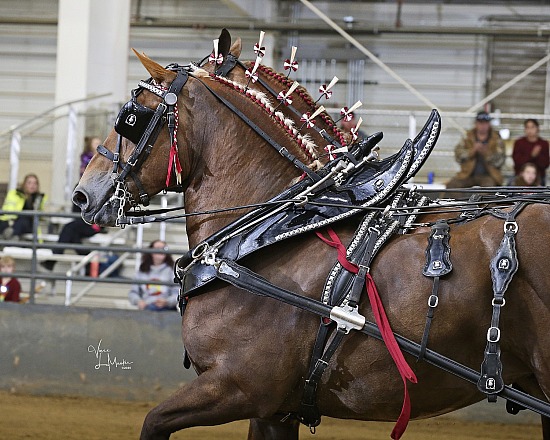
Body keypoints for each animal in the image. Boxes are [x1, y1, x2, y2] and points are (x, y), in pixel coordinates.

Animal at [74, 29, 550, 438]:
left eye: (131, 119)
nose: (82, 194)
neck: (275, 223)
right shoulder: (273, 412)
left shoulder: (236, 388)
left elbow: (153, 422)